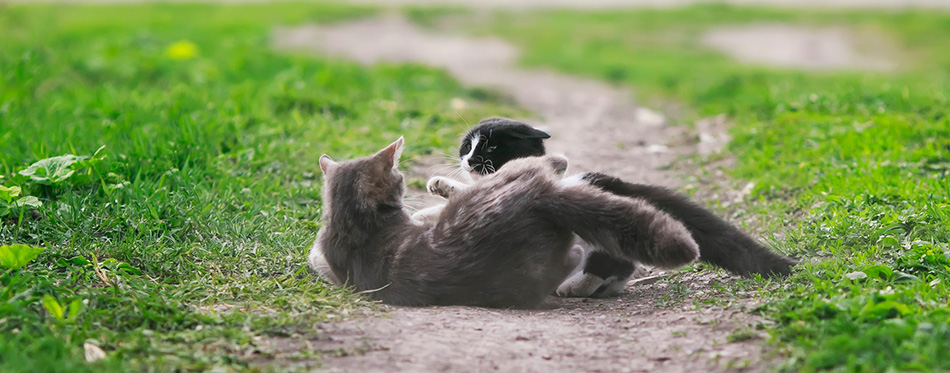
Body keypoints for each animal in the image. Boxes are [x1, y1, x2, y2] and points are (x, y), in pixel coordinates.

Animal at [436, 116, 800, 296]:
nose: (469, 160)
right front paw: (441, 186)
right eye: (467, 147)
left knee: (611, 256)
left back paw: (576, 286)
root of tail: (622, 186)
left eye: (491, 147)